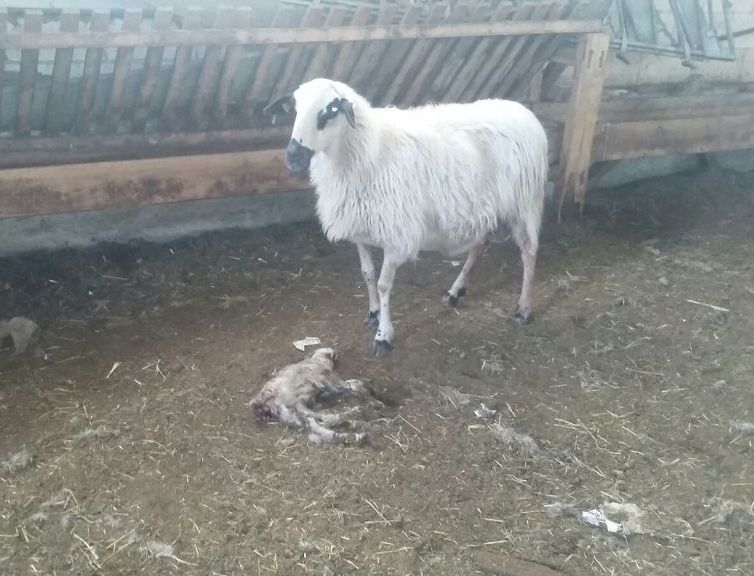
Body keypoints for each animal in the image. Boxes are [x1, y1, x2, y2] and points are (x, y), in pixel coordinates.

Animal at [264, 77, 548, 356]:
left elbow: (383, 284)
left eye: (330, 110)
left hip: (524, 202)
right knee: (480, 244)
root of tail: (524, 112)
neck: (367, 150)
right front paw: (373, 314)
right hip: (482, 208)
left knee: (529, 250)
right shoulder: (360, 229)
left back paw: (523, 309)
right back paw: (455, 292)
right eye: (295, 108)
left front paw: (383, 336)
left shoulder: (397, 236)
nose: (294, 157)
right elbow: (367, 273)